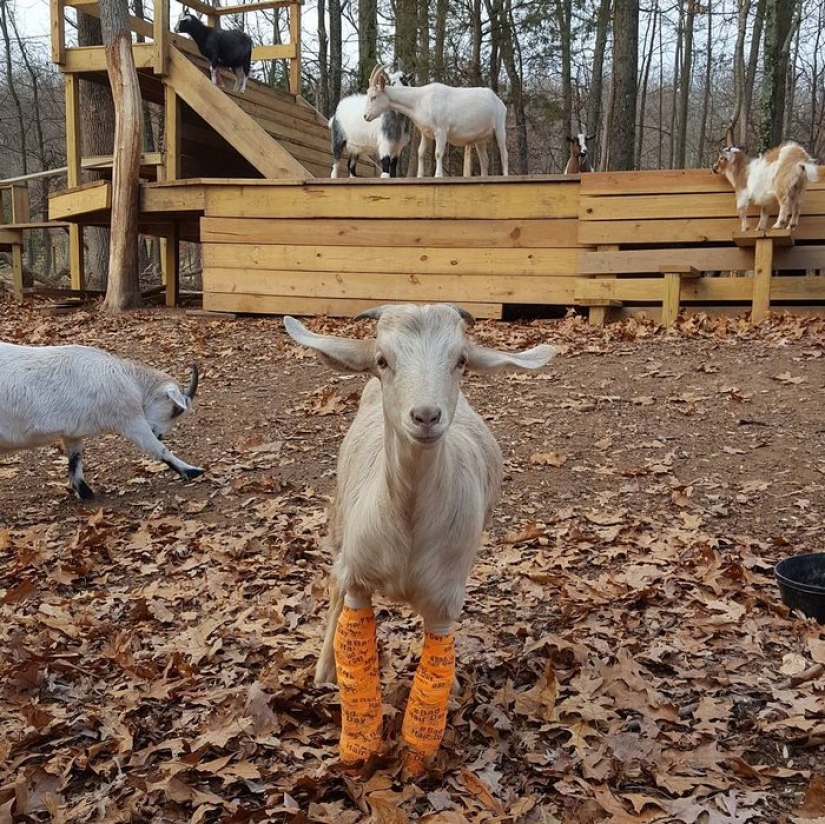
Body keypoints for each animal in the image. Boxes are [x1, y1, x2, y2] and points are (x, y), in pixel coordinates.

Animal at [0, 342, 203, 500]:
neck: (129, 378)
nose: (159, 434)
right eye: (176, 409)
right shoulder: (130, 419)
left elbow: (75, 458)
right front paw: (193, 471)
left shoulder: (72, 432)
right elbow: (158, 449)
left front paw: (84, 491)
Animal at [284, 304, 555, 772]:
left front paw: (417, 751)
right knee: (333, 581)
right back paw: (325, 671)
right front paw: (358, 747)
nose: (426, 416)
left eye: (461, 360)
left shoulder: (446, 601)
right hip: (340, 522)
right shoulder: (360, 579)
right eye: (382, 360)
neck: (407, 529)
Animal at [364, 64, 509, 178]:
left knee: (504, 153)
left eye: (374, 96)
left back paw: (505, 175)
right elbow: (420, 153)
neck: (419, 100)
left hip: (500, 128)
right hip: (480, 140)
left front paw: (438, 175)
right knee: (485, 160)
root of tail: (498, 100)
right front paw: (420, 176)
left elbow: (438, 153)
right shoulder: (426, 133)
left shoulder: (441, 131)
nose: (366, 116)